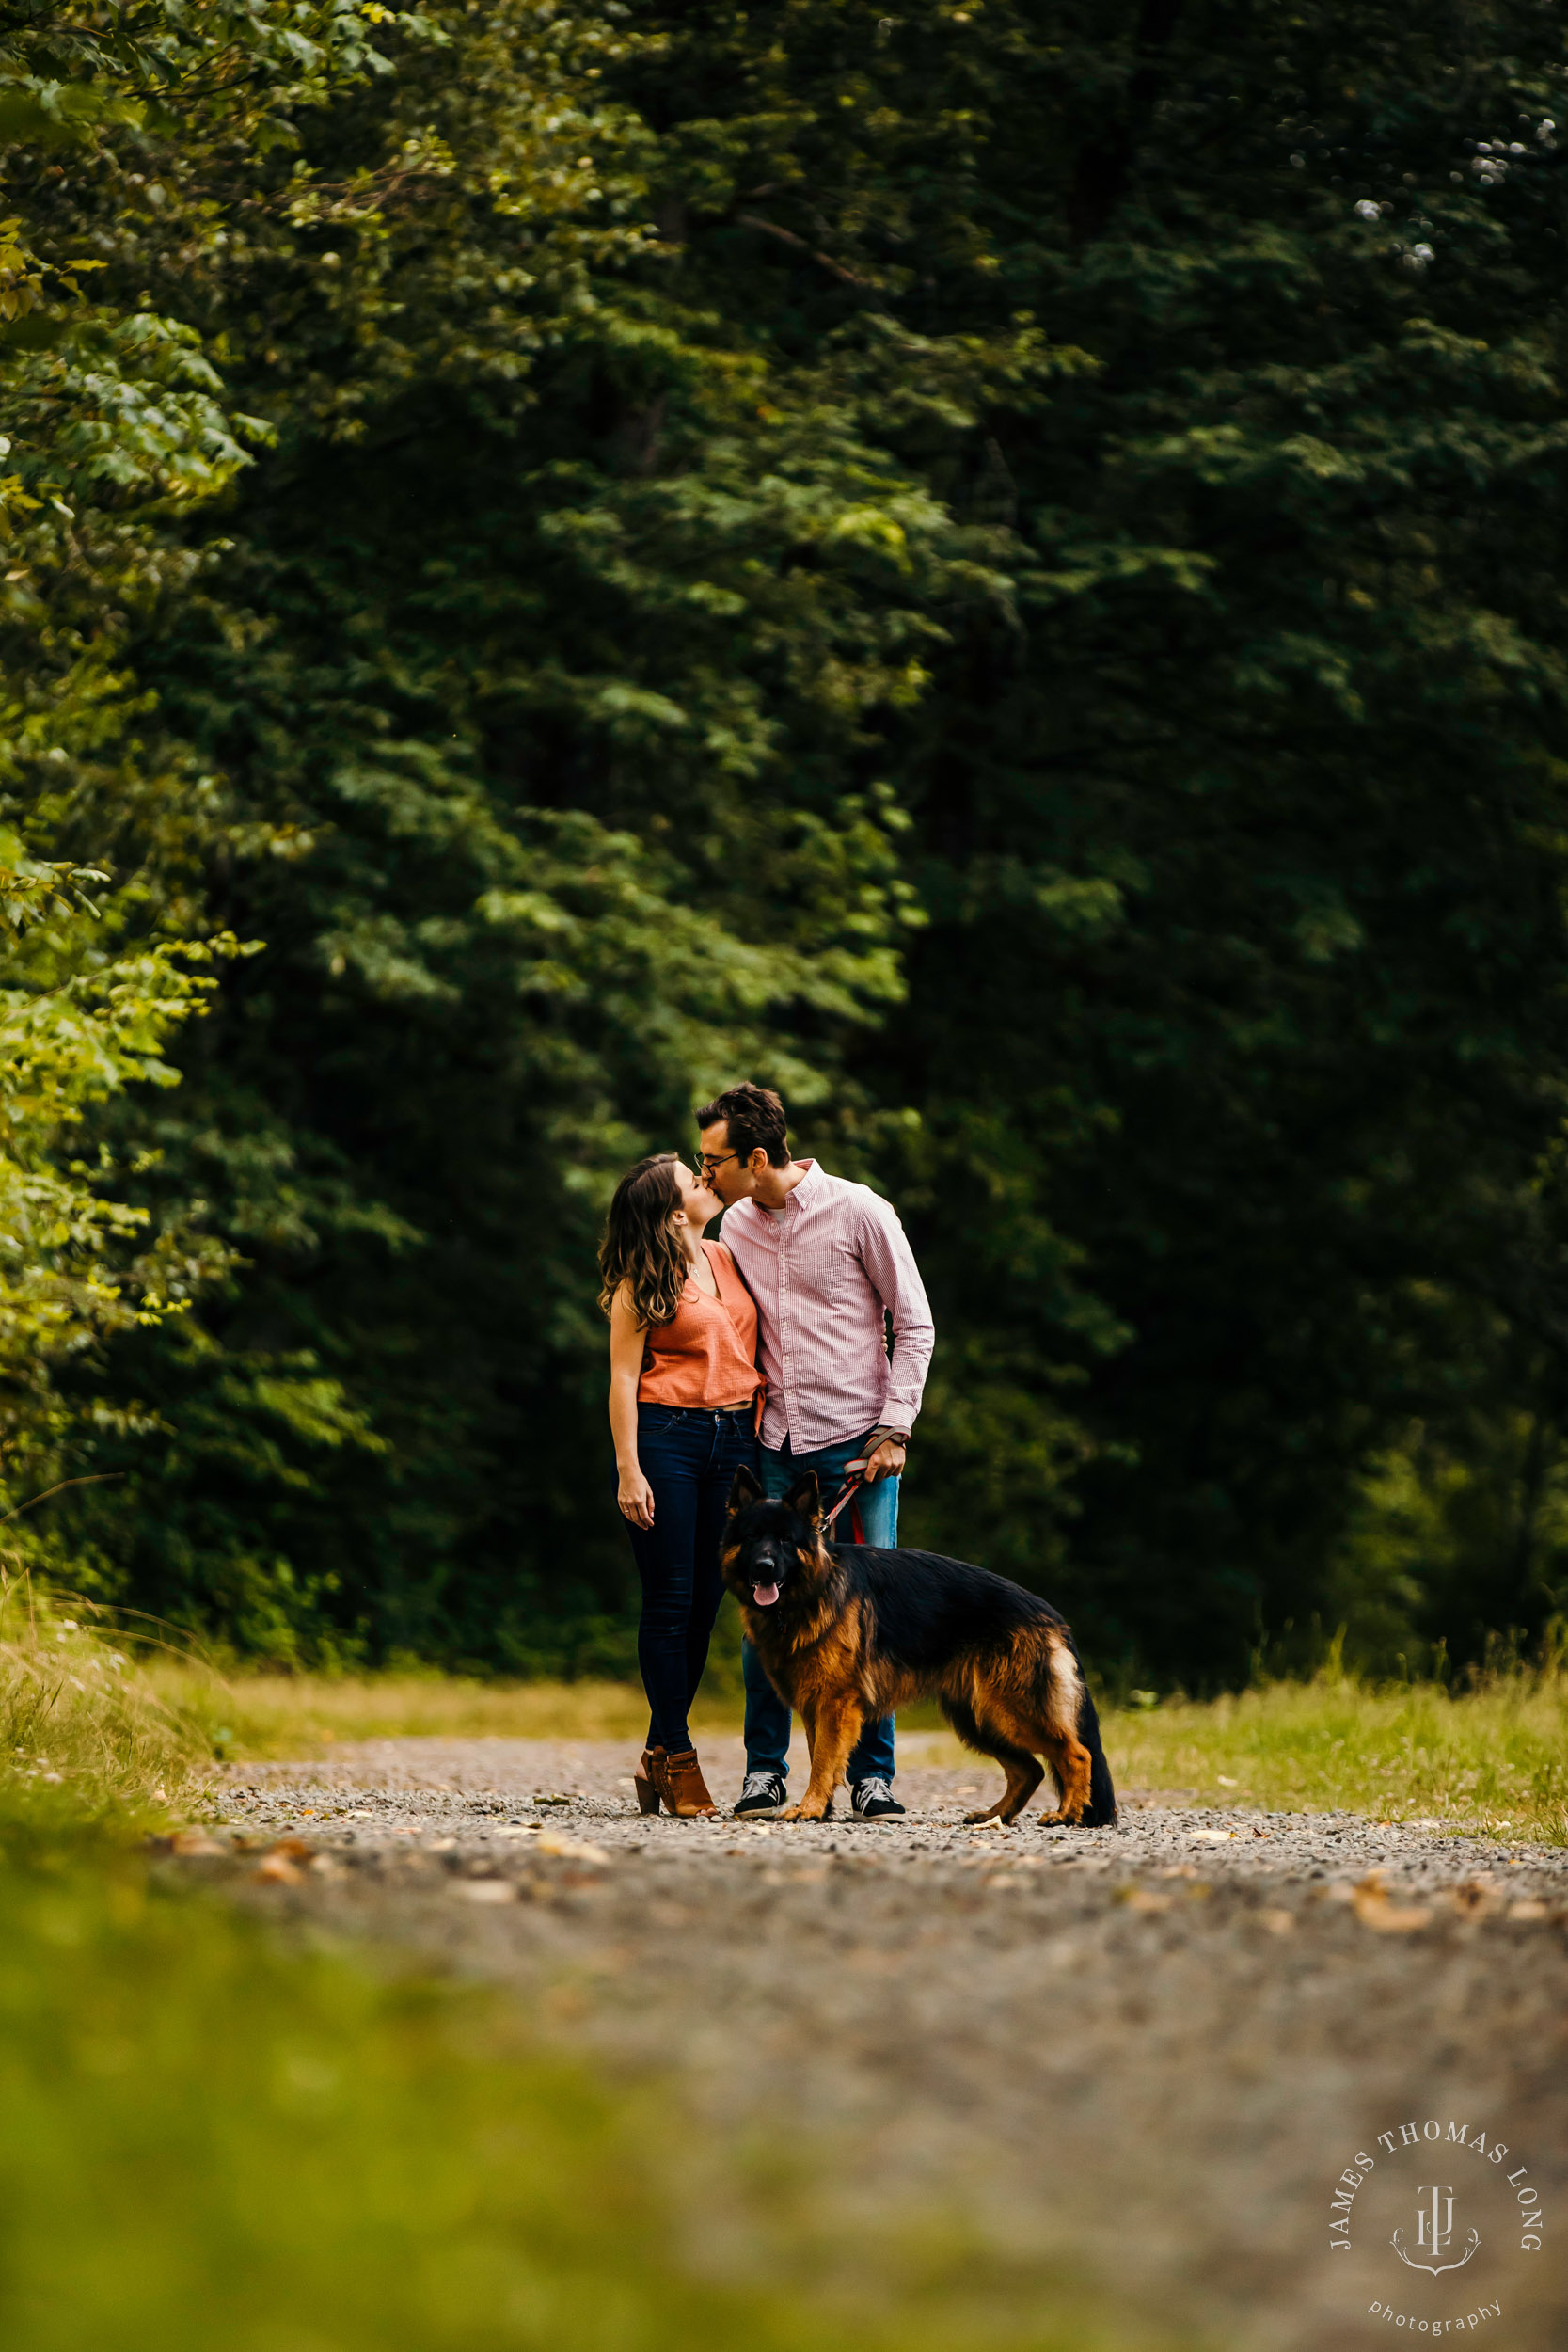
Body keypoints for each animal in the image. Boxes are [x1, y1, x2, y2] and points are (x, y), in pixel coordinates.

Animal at [723, 1477, 1114, 1825]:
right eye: (752, 1537)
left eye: (785, 1540)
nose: (764, 1568)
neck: (814, 1590)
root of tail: (1051, 1614)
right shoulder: (814, 1706)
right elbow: (823, 1756)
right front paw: (822, 1809)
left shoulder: (834, 1703)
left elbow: (822, 1760)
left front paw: (811, 1808)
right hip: (981, 1719)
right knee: (1029, 1770)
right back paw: (995, 1815)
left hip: (1010, 1710)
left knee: (1077, 1755)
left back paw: (1066, 1815)